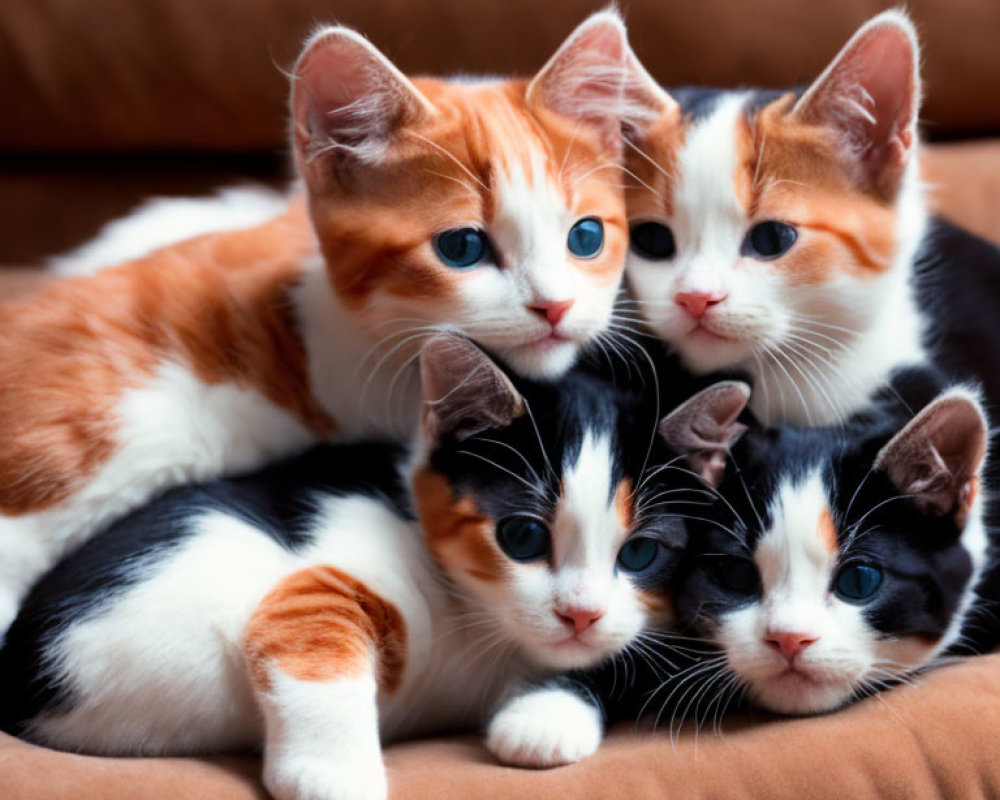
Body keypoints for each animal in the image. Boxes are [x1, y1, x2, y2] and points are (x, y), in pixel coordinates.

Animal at [0, 334, 752, 796]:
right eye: (521, 536)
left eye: (641, 553)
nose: (581, 614)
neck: (484, 631)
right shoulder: (324, 564)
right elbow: (310, 620)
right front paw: (332, 777)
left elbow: (622, 665)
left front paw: (545, 717)